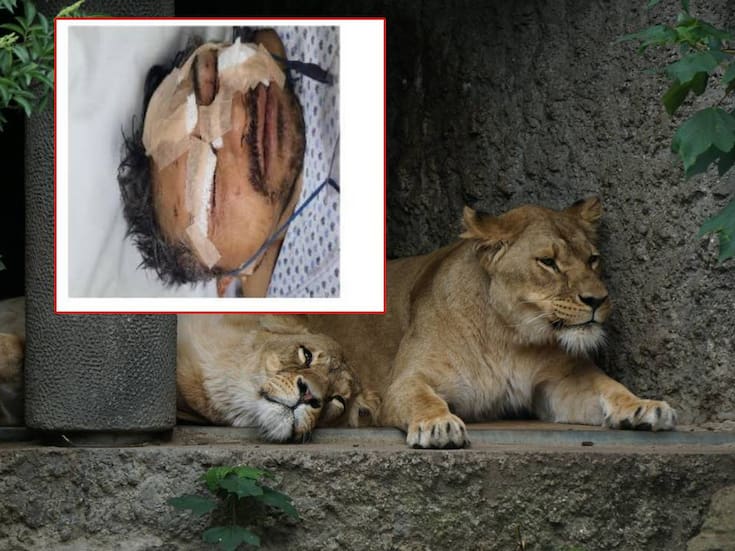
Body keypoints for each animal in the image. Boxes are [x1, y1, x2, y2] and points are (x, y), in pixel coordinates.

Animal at [304, 198, 677, 448]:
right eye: (548, 262)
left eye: (593, 259)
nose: (597, 300)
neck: (509, 337)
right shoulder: (405, 382)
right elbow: (422, 398)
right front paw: (439, 425)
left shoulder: (557, 384)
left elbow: (608, 387)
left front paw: (644, 407)